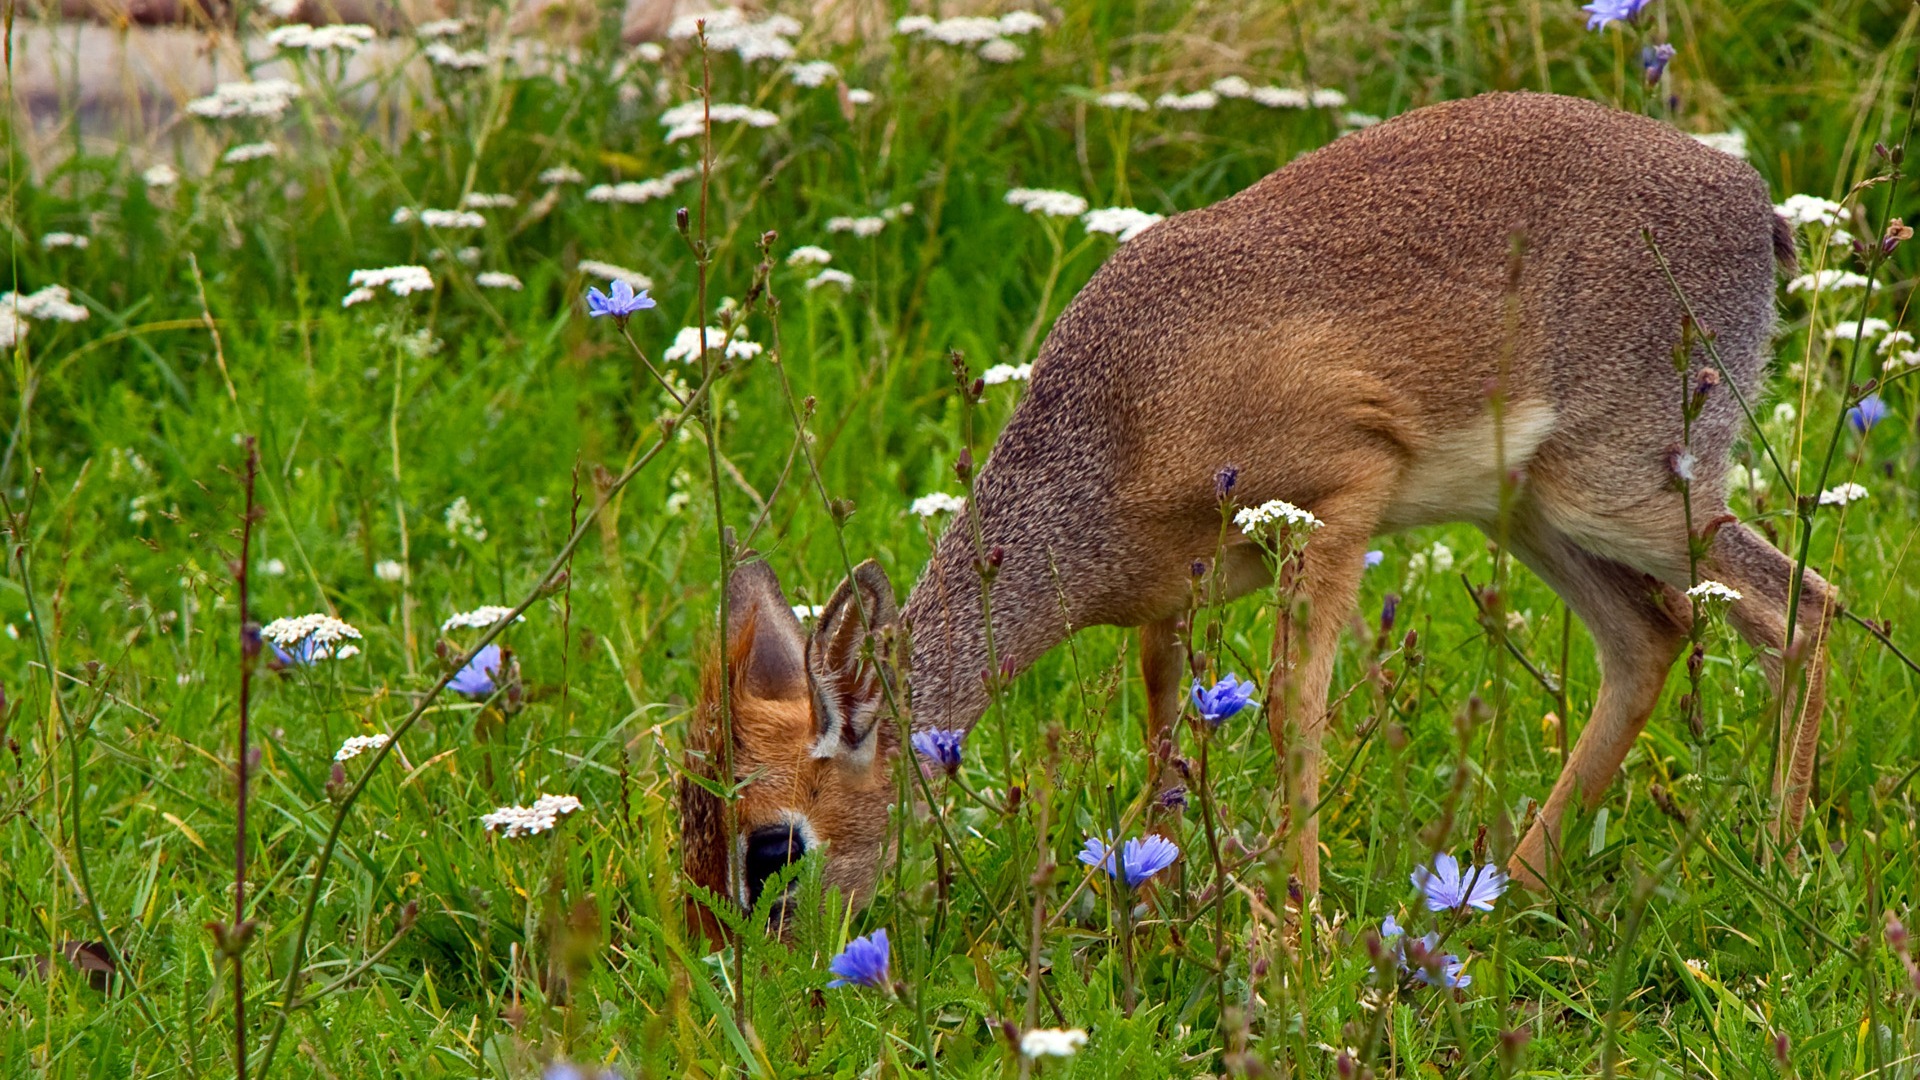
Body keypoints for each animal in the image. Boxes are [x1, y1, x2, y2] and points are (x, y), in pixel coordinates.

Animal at [679, 90, 1827, 926]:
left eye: (772, 843)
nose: (758, 981)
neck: (1116, 426)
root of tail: (1753, 204)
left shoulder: (1339, 501)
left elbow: (1291, 712)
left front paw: (1300, 928)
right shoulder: (1168, 605)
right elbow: (1165, 734)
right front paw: (1156, 897)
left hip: (1625, 491)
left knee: (1801, 605)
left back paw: (1778, 866)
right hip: (1534, 514)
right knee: (1651, 637)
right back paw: (1509, 893)